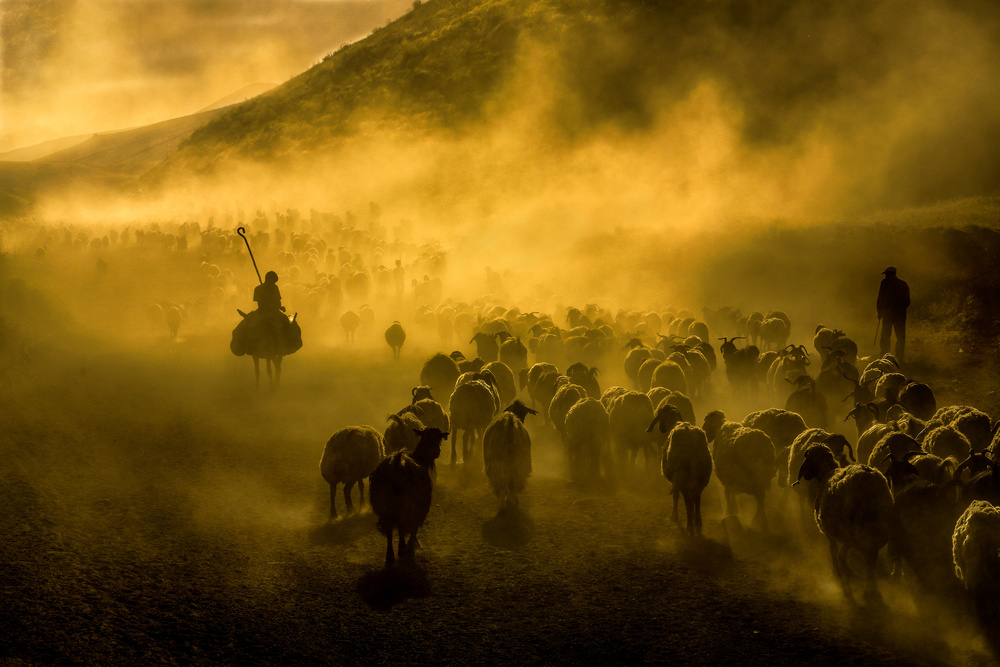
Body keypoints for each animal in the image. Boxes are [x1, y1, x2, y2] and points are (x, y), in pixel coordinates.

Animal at [370, 428, 448, 564]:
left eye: (437, 438)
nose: (437, 452)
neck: (419, 459)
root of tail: (397, 464)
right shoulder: (420, 508)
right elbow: (413, 528)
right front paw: (412, 546)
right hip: (406, 504)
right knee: (402, 525)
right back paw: (402, 549)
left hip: (384, 504)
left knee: (389, 529)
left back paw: (390, 556)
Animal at [792, 444, 896, 604]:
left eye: (807, 457)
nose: (806, 476)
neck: (826, 472)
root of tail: (870, 483)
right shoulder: (845, 535)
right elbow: (842, 552)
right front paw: (847, 569)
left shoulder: (830, 530)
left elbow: (834, 551)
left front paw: (838, 571)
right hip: (879, 528)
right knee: (871, 557)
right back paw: (872, 588)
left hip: (858, 528)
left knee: (867, 557)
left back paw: (868, 589)